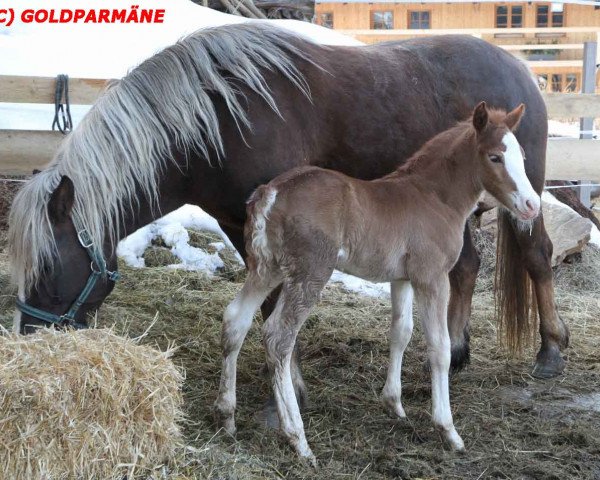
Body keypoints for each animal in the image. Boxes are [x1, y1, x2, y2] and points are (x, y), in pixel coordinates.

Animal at [216, 103, 540, 464]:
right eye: (495, 157)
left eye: (522, 156)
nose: (532, 205)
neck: (434, 197)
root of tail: (269, 194)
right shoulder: (432, 277)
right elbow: (439, 347)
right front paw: (448, 430)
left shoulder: (402, 278)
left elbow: (401, 332)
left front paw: (394, 404)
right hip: (310, 271)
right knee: (277, 336)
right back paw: (298, 440)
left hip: (266, 268)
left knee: (235, 320)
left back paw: (227, 417)